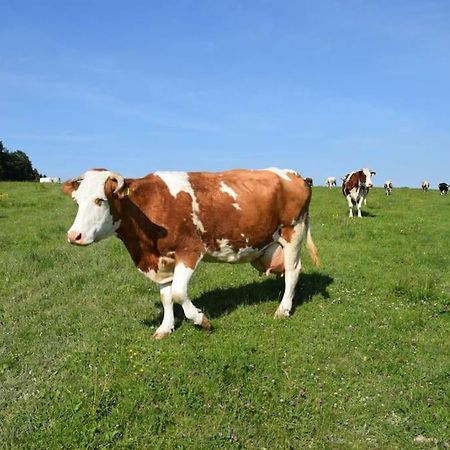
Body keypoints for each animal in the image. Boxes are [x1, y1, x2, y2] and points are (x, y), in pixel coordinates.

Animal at [62, 168, 320, 338]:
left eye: (100, 200)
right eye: (77, 201)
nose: (73, 235)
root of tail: (294, 174)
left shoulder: (189, 251)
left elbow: (178, 292)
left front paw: (201, 319)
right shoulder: (161, 260)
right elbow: (166, 296)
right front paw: (165, 328)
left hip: (293, 232)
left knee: (293, 272)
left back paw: (283, 309)